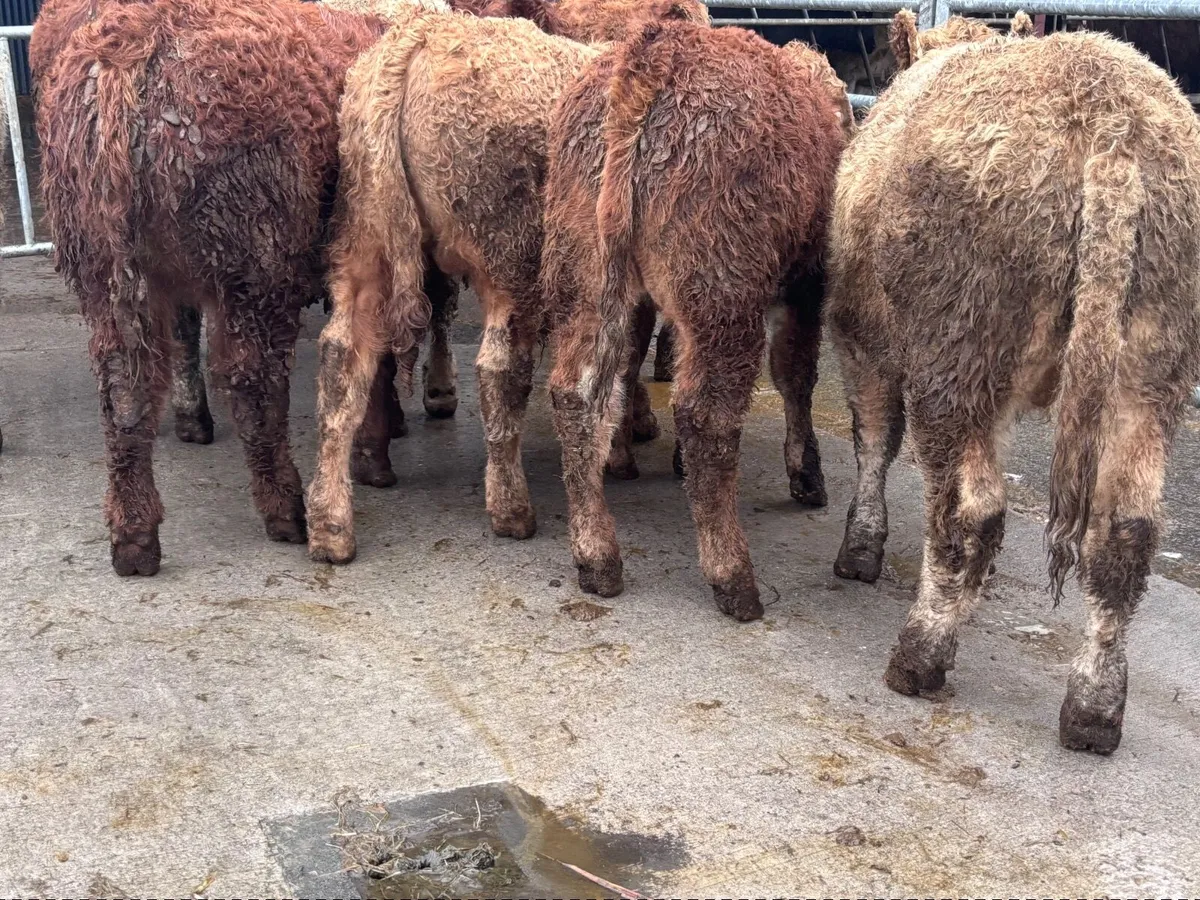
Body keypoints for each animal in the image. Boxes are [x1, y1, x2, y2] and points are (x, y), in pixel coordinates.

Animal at [827, 10, 1200, 754]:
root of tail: (1111, 115)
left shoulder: (864, 339)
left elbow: (874, 441)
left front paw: (860, 547)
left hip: (957, 350)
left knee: (969, 508)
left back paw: (921, 654)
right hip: (1153, 367)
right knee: (1125, 531)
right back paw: (1094, 709)